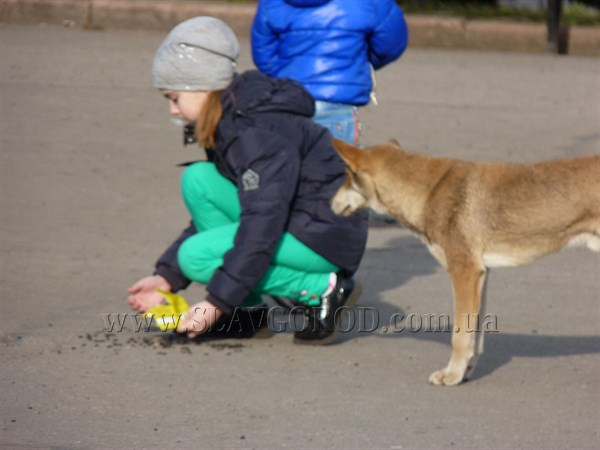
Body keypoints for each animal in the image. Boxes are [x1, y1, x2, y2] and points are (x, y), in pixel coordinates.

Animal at [330, 138, 596, 386]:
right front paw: (464, 372)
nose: (330, 203)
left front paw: (451, 376)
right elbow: (475, 338)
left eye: (346, 175)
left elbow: (459, 336)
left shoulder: (464, 273)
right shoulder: (481, 275)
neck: (431, 192)